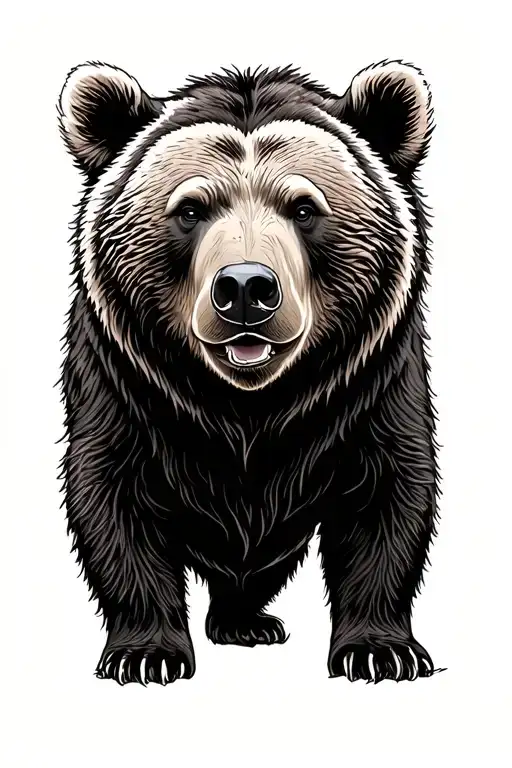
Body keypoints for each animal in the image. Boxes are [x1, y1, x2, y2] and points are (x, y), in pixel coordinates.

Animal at [58, 58, 440, 686]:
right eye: (190, 209)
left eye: (304, 208)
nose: (244, 287)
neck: (247, 406)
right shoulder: (123, 385)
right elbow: (113, 497)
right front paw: (146, 653)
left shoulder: (372, 383)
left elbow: (386, 496)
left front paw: (381, 650)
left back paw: (247, 621)